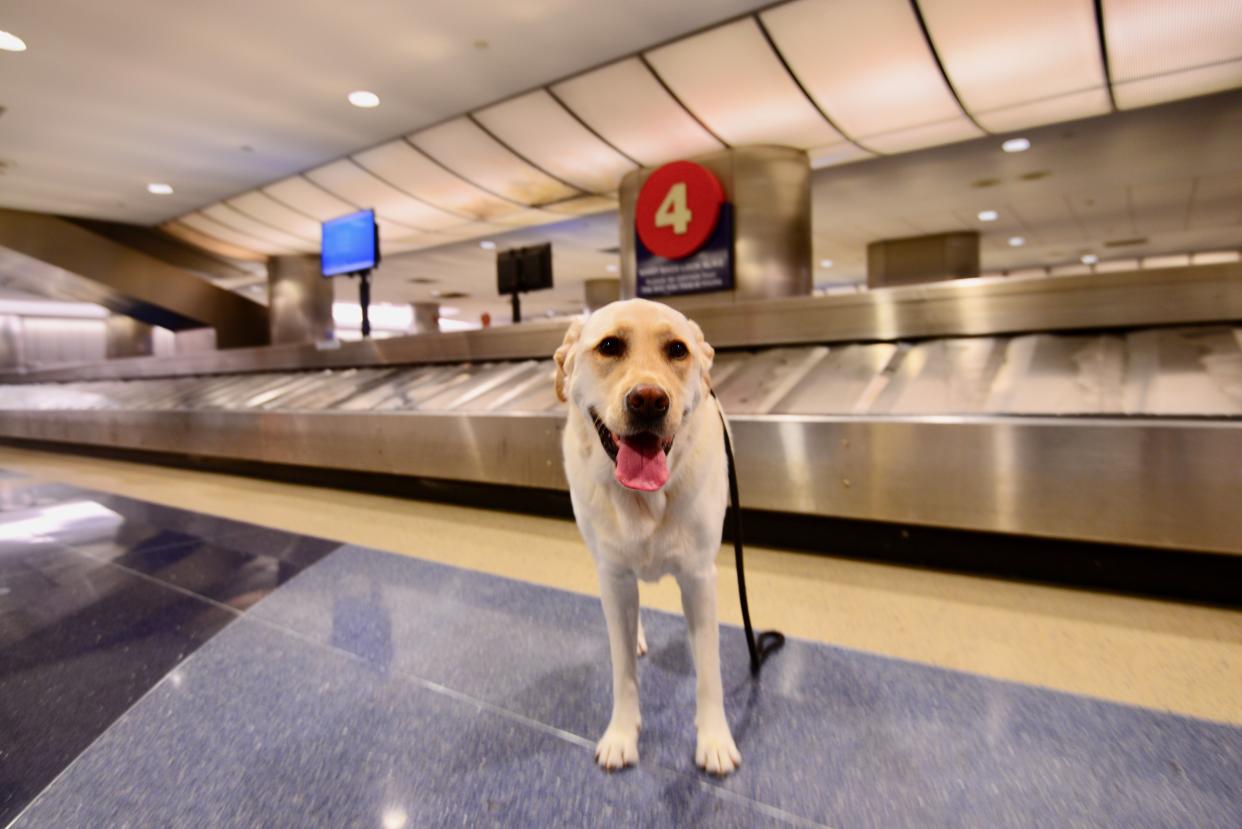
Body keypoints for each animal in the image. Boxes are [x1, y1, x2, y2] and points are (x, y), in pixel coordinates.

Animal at [553, 299, 735, 780]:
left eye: (677, 350)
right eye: (609, 346)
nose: (649, 400)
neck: (645, 500)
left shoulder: (699, 578)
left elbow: (710, 673)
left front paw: (715, 740)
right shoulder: (614, 576)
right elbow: (623, 672)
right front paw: (621, 735)